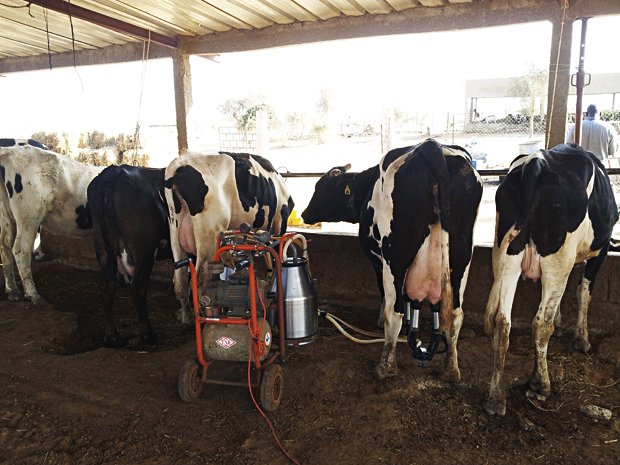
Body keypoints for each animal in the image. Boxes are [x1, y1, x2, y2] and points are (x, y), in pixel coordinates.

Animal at [0, 146, 103, 304]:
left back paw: (12, 290)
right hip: (29, 216)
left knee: (5, 247)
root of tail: (8, 152)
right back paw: (33, 294)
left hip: (7, 216)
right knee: (21, 250)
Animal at [86, 163, 171, 344]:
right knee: (138, 288)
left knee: (107, 287)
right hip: (143, 251)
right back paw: (147, 333)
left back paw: (111, 335)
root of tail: (113, 173)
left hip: (103, 246)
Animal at [162, 152, 294, 322]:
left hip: (175, 232)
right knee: (199, 281)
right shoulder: (280, 224)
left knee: (180, 281)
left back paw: (187, 317)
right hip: (209, 235)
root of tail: (180, 163)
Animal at [302, 139, 482, 384]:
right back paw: (451, 368)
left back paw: (386, 366)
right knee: (455, 315)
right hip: (462, 255)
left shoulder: (377, 261)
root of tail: (430, 145)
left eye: (321, 188)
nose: (304, 214)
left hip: (395, 257)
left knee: (393, 312)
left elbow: (387, 295)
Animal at [484, 143, 620, 416]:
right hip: (557, 260)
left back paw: (496, 397)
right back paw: (541, 383)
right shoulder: (598, 253)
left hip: (505, 257)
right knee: (539, 324)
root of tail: (536, 165)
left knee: (503, 323)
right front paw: (581, 340)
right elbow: (583, 293)